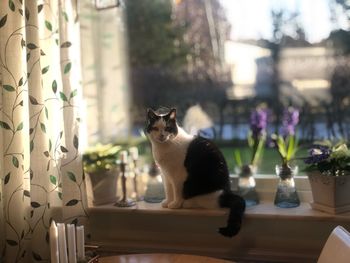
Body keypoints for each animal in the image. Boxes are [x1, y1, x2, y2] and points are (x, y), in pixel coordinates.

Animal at [146, 106, 246, 238]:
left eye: (167, 128)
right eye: (156, 128)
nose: (162, 135)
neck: (164, 148)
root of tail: (227, 194)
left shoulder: (178, 176)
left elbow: (177, 192)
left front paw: (175, 204)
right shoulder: (165, 174)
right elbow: (168, 190)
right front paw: (167, 202)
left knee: (205, 203)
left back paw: (186, 203)